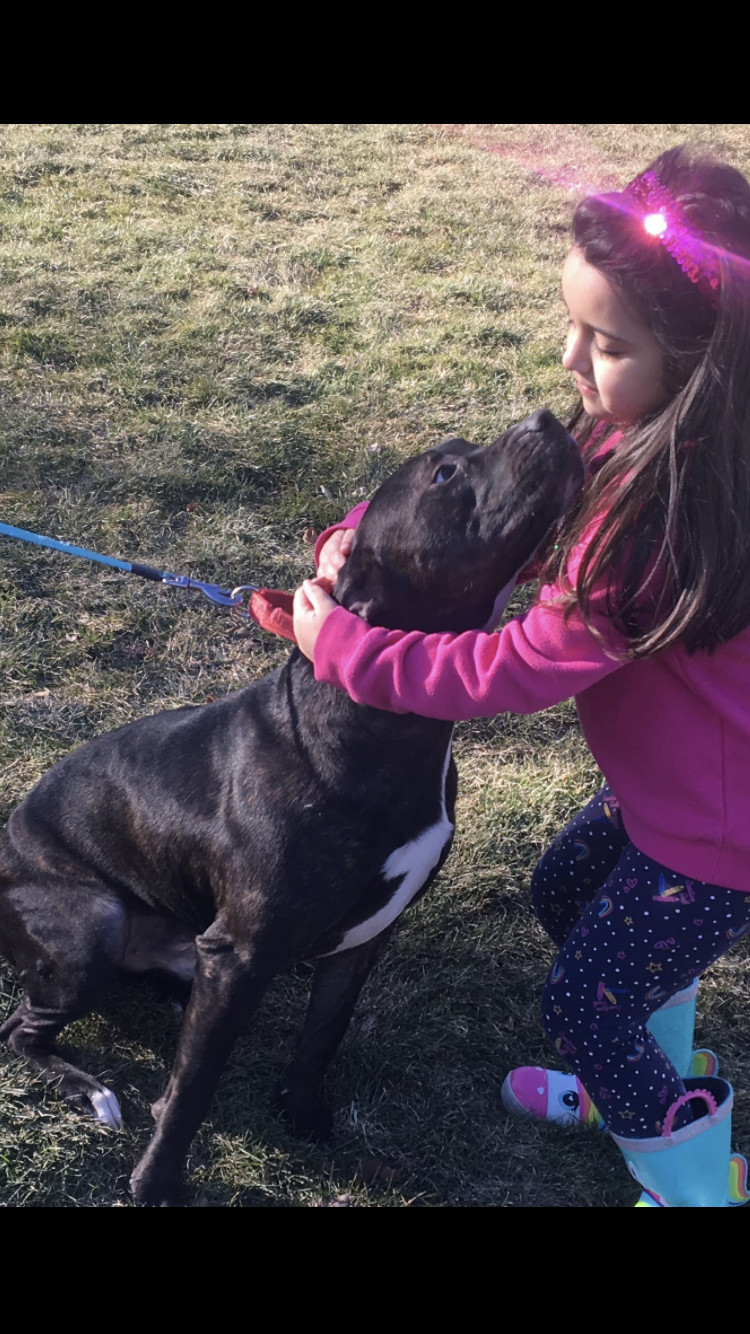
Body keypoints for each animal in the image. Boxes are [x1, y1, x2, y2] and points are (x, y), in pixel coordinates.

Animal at [0, 402, 581, 1200]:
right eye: (443, 473)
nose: (550, 416)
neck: (374, 721)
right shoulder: (241, 955)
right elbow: (192, 1088)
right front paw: (156, 1182)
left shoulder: (363, 938)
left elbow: (321, 1036)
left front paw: (302, 1115)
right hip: (91, 927)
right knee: (20, 1030)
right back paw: (89, 1089)